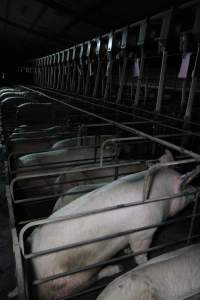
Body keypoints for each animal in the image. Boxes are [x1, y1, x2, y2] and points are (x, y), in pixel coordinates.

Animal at [27, 150, 197, 300]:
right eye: (185, 187)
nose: (196, 190)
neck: (162, 195)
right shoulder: (144, 231)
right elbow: (140, 252)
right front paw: (145, 261)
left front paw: (126, 250)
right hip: (74, 279)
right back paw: (117, 268)